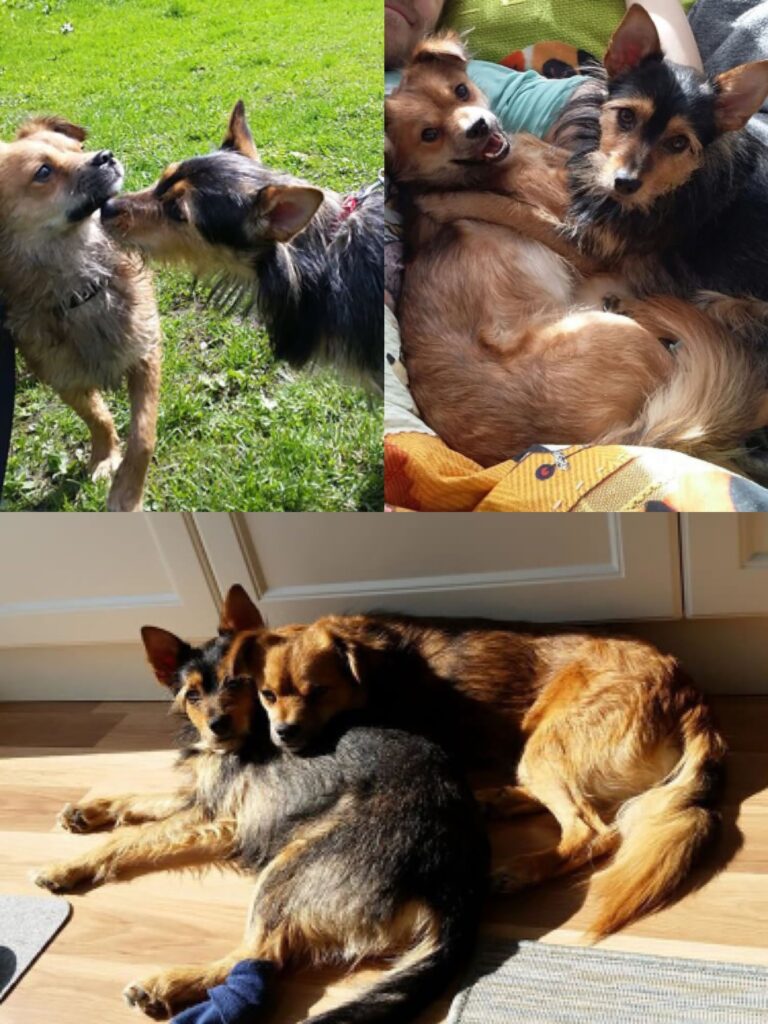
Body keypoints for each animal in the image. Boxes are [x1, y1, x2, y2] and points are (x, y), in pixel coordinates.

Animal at [0, 117, 160, 512]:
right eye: (43, 172)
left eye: (77, 149)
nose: (105, 156)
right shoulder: (66, 379)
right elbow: (98, 417)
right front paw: (104, 457)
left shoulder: (145, 352)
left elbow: (143, 433)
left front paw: (126, 493)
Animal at [34, 585, 487, 1024]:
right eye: (192, 694)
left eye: (236, 683)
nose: (217, 727)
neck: (248, 729)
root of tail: (453, 887)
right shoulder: (205, 797)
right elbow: (141, 799)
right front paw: (87, 812)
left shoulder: (213, 815)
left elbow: (132, 836)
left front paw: (66, 866)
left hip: (290, 866)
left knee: (259, 956)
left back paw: (168, 983)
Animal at [234, 598, 729, 942]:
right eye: (266, 694)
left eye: (318, 690)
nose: (283, 735)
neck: (377, 667)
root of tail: (690, 697)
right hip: (542, 749)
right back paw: (498, 801)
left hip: (546, 745)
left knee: (592, 830)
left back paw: (520, 870)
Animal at [387, 33, 768, 468]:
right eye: (428, 134)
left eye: (460, 91)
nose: (479, 126)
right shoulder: (581, 234)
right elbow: (510, 208)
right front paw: (447, 201)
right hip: (620, 335)